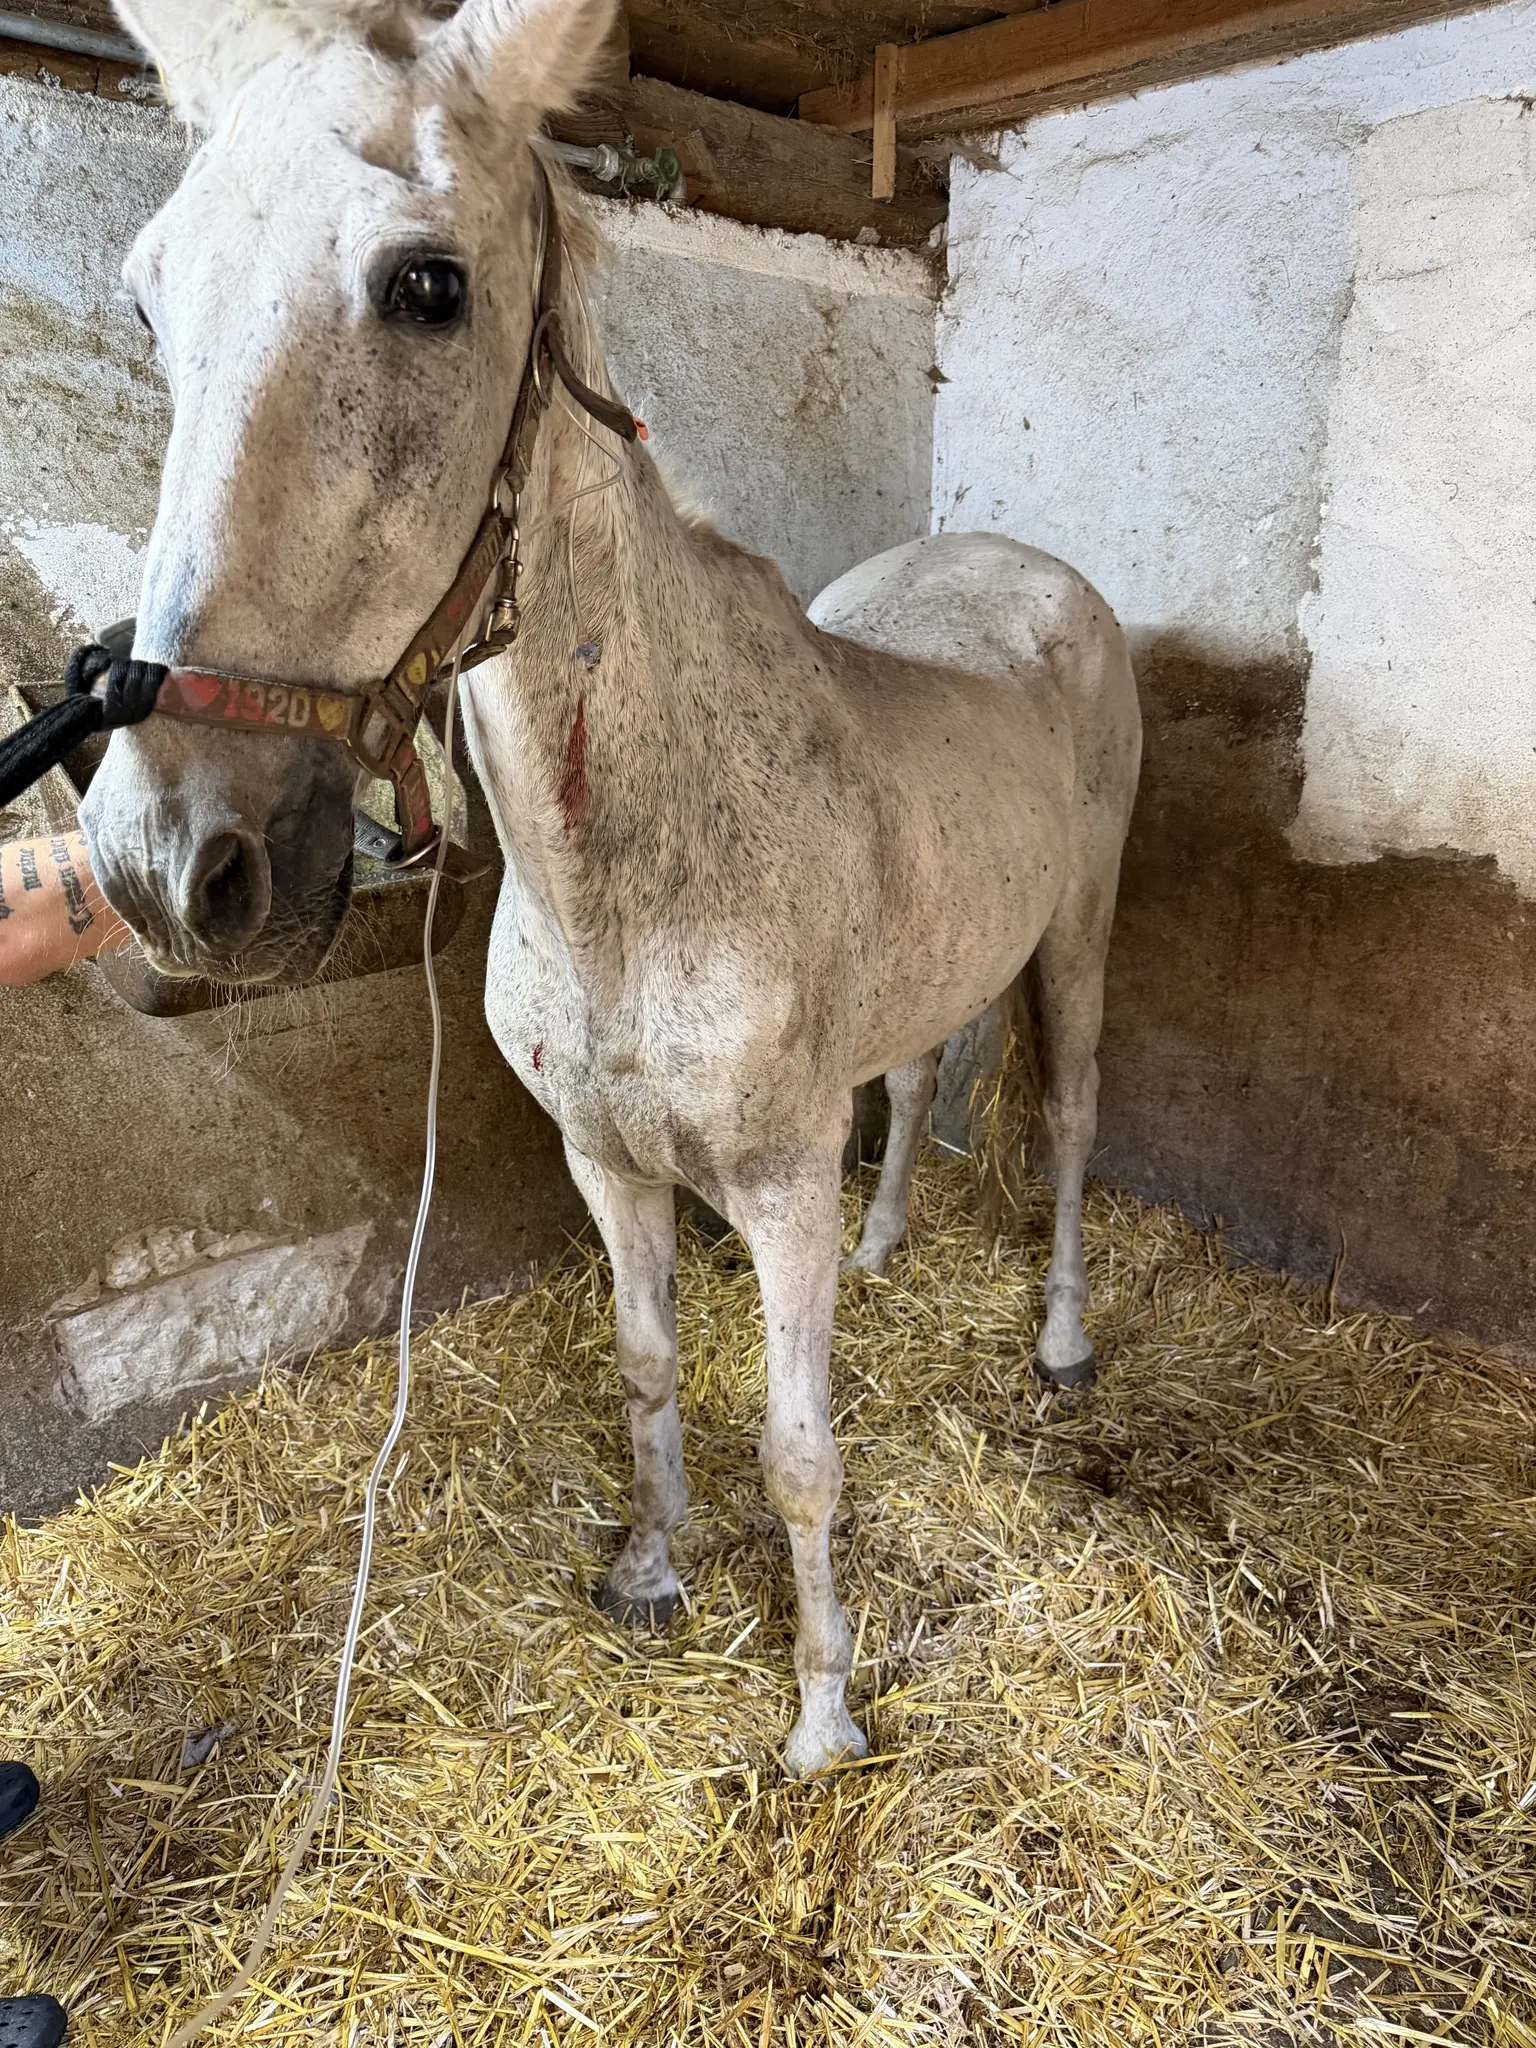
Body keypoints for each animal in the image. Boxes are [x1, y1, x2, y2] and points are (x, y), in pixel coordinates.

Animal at [79, 0, 1141, 1776]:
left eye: (429, 287)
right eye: (154, 295)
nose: (171, 863)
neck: (630, 873)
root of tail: (1035, 578)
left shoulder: (774, 1185)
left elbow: (800, 1452)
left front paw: (823, 1717)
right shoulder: (606, 1160)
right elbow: (646, 1367)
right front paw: (653, 1572)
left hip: (1078, 931)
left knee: (1063, 1123)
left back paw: (1062, 1345)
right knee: (918, 1079)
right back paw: (890, 1252)